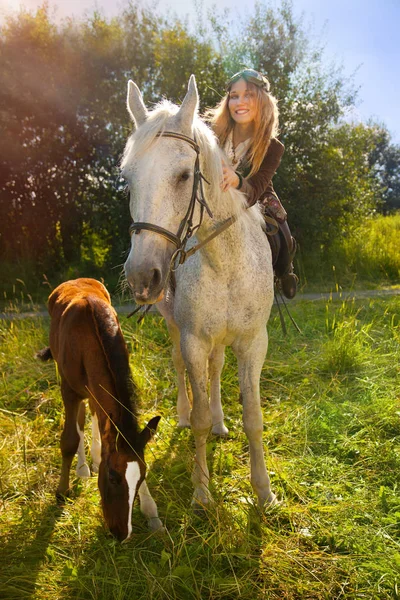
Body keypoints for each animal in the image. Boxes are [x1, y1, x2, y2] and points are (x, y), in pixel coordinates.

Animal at [38, 278, 162, 540]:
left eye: (142, 478)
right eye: (113, 477)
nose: (121, 532)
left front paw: (151, 512)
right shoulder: (69, 390)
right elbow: (70, 439)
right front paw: (61, 491)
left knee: (96, 414)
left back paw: (94, 458)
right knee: (81, 419)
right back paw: (83, 468)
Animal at [122, 75, 276, 510]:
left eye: (183, 176)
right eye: (128, 179)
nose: (142, 276)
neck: (225, 263)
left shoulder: (253, 342)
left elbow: (254, 417)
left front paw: (264, 492)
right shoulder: (193, 340)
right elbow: (200, 418)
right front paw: (202, 490)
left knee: (216, 368)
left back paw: (222, 419)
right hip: (174, 328)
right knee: (182, 370)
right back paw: (185, 413)